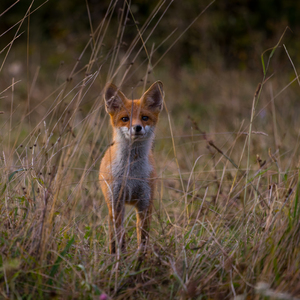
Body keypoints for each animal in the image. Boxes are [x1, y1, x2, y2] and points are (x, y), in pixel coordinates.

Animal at [99, 80, 163, 253]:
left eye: (145, 118)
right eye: (125, 118)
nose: (137, 127)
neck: (131, 174)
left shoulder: (145, 204)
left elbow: (143, 242)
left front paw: (140, 260)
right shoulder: (117, 203)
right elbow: (120, 240)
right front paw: (120, 258)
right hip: (111, 206)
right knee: (113, 239)